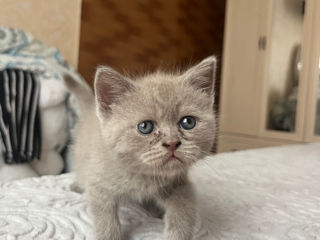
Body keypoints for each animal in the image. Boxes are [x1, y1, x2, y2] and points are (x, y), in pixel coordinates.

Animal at [65, 55, 218, 239]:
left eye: (188, 122)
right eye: (145, 127)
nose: (172, 143)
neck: (143, 176)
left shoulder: (180, 184)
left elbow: (183, 211)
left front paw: (176, 233)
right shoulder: (98, 184)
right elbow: (105, 218)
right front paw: (108, 234)